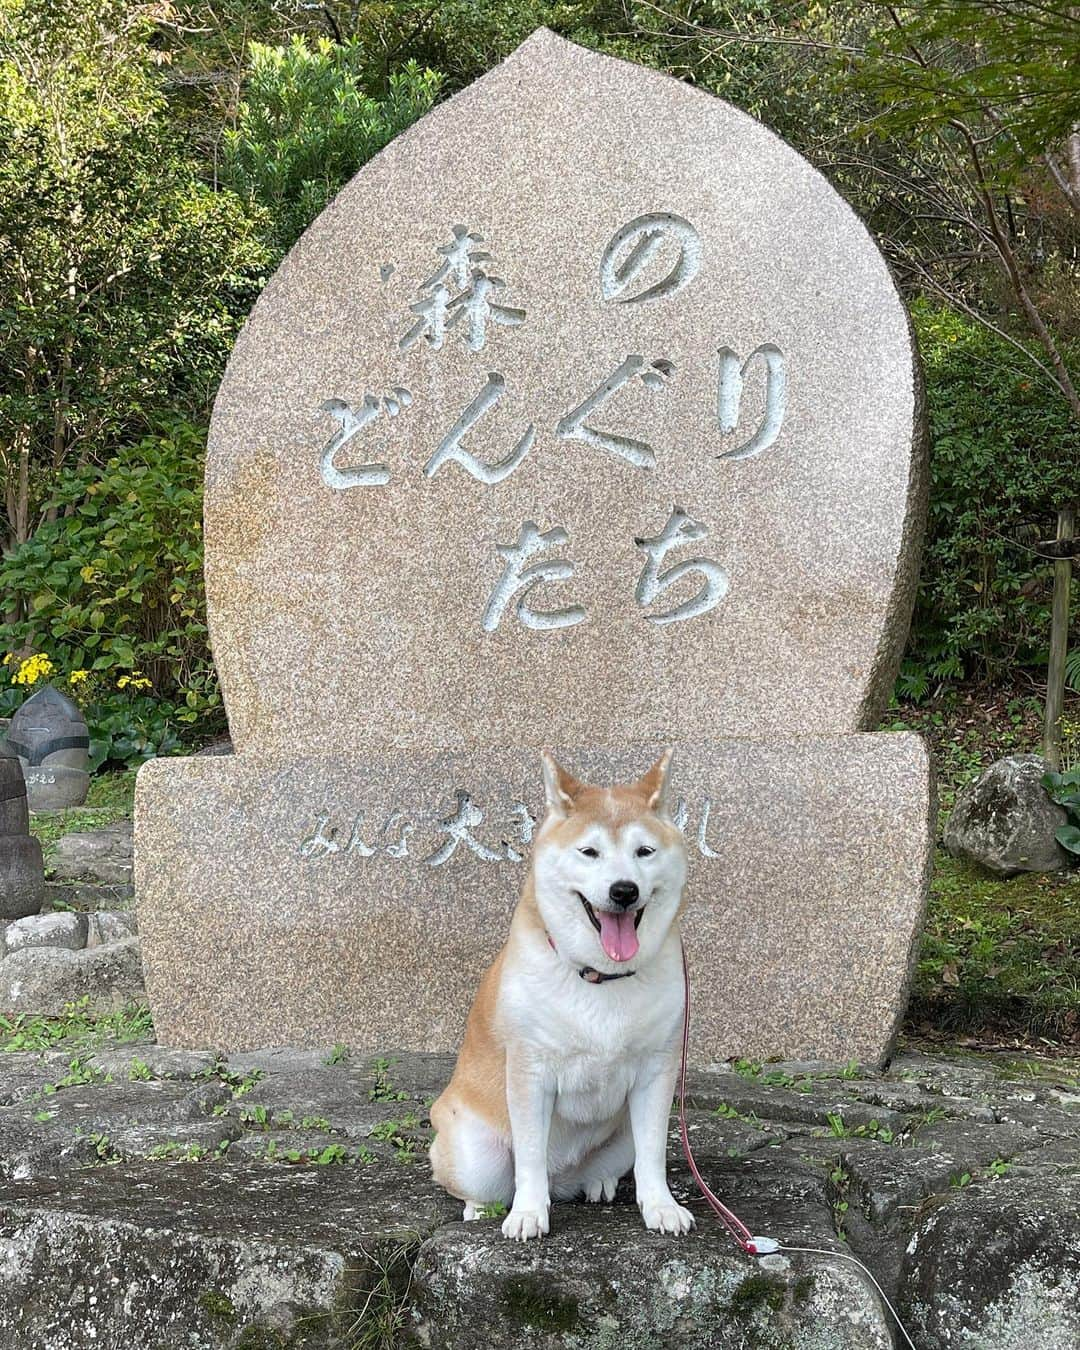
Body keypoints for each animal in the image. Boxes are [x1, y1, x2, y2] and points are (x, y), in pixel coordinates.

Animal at [429, 756, 691, 1236]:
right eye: (589, 852)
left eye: (644, 852)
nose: (623, 889)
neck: (601, 976)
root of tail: (563, 1176)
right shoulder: (530, 1072)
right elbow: (530, 1158)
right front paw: (529, 1214)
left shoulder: (657, 1071)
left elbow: (653, 1156)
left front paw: (660, 1207)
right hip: (474, 1151)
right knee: (491, 1182)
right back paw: (482, 1207)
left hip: (619, 1136)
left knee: (609, 1165)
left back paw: (599, 1182)